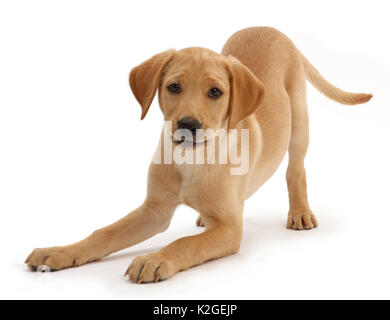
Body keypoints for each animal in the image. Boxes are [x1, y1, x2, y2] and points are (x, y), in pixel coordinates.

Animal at [25, 27, 372, 282]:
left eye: (215, 92)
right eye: (173, 87)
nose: (188, 125)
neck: (191, 161)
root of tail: (272, 29)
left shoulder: (230, 229)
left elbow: (185, 243)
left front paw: (155, 259)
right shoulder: (155, 209)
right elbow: (104, 232)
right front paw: (58, 251)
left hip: (299, 120)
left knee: (295, 169)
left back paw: (299, 212)